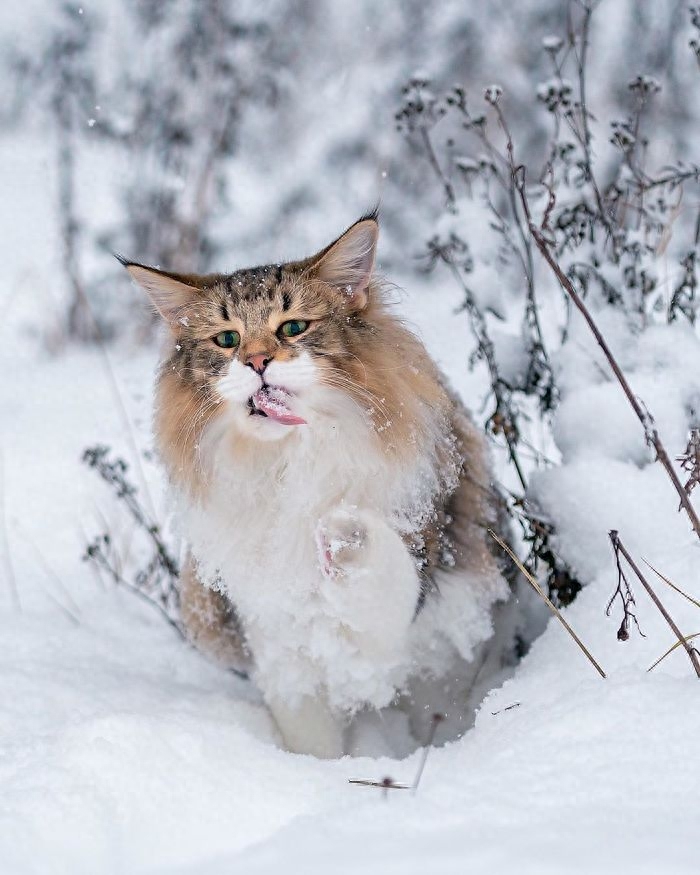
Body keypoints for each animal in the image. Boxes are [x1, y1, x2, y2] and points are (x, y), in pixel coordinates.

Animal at [124, 214, 516, 760]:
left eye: (292, 327)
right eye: (227, 339)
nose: (257, 361)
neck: (288, 464)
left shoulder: (414, 575)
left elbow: (379, 572)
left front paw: (341, 532)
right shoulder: (277, 638)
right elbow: (313, 739)